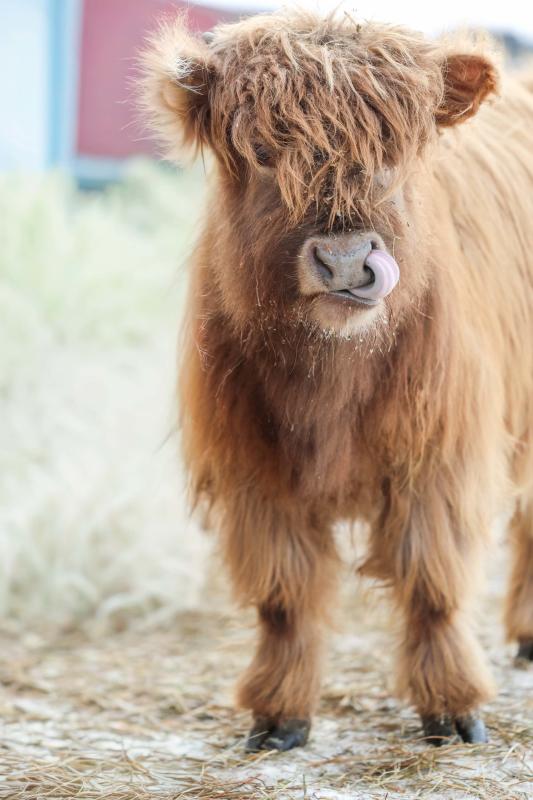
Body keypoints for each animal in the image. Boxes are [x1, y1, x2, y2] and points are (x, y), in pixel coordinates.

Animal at [141, 10, 533, 751]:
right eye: (263, 153)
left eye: (395, 153)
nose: (347, 261)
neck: (330, 381)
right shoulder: (255, 473)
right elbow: (284, 597)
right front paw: (277, 716)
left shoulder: (439, 459)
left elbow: (432, 585)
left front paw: (453, 709)